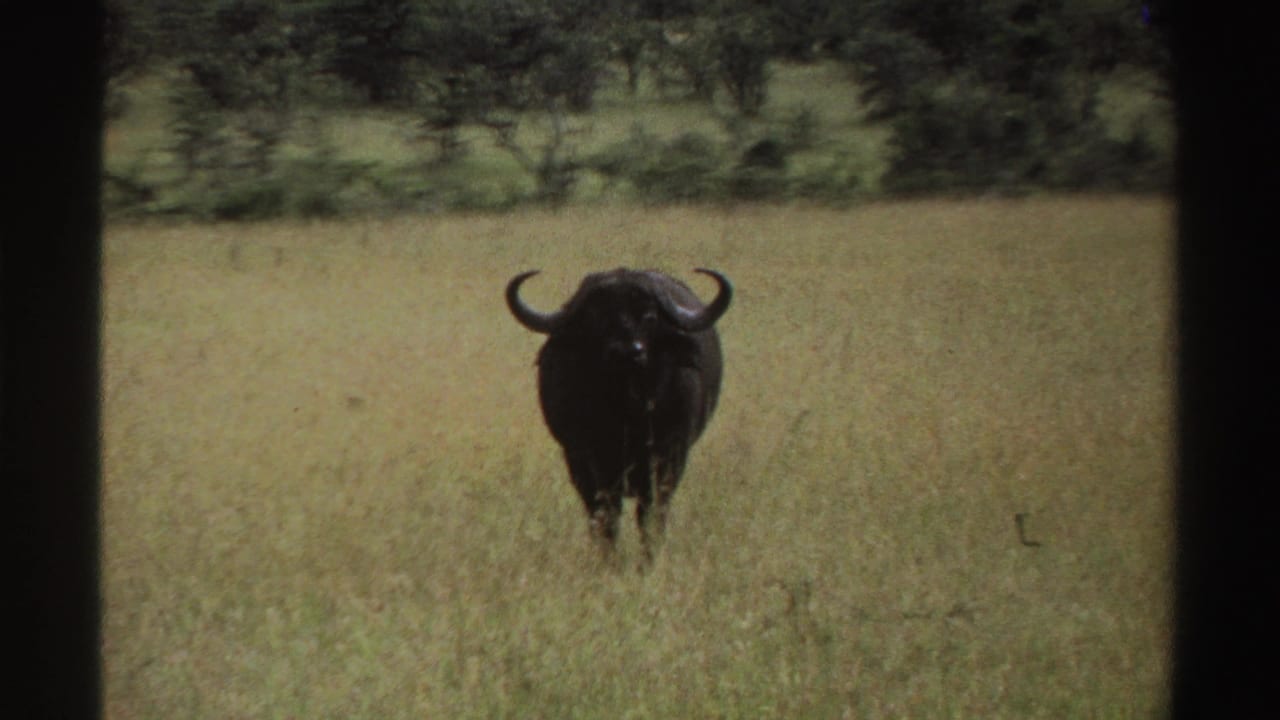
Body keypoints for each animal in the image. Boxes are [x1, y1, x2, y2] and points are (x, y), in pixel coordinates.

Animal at [506, 267, 733, 559]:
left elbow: (651, 517)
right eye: (595, 316)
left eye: (650, 316)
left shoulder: (669, 458)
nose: (627, 352)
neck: (629, 412)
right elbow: (608, 516)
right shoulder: (592, 461)